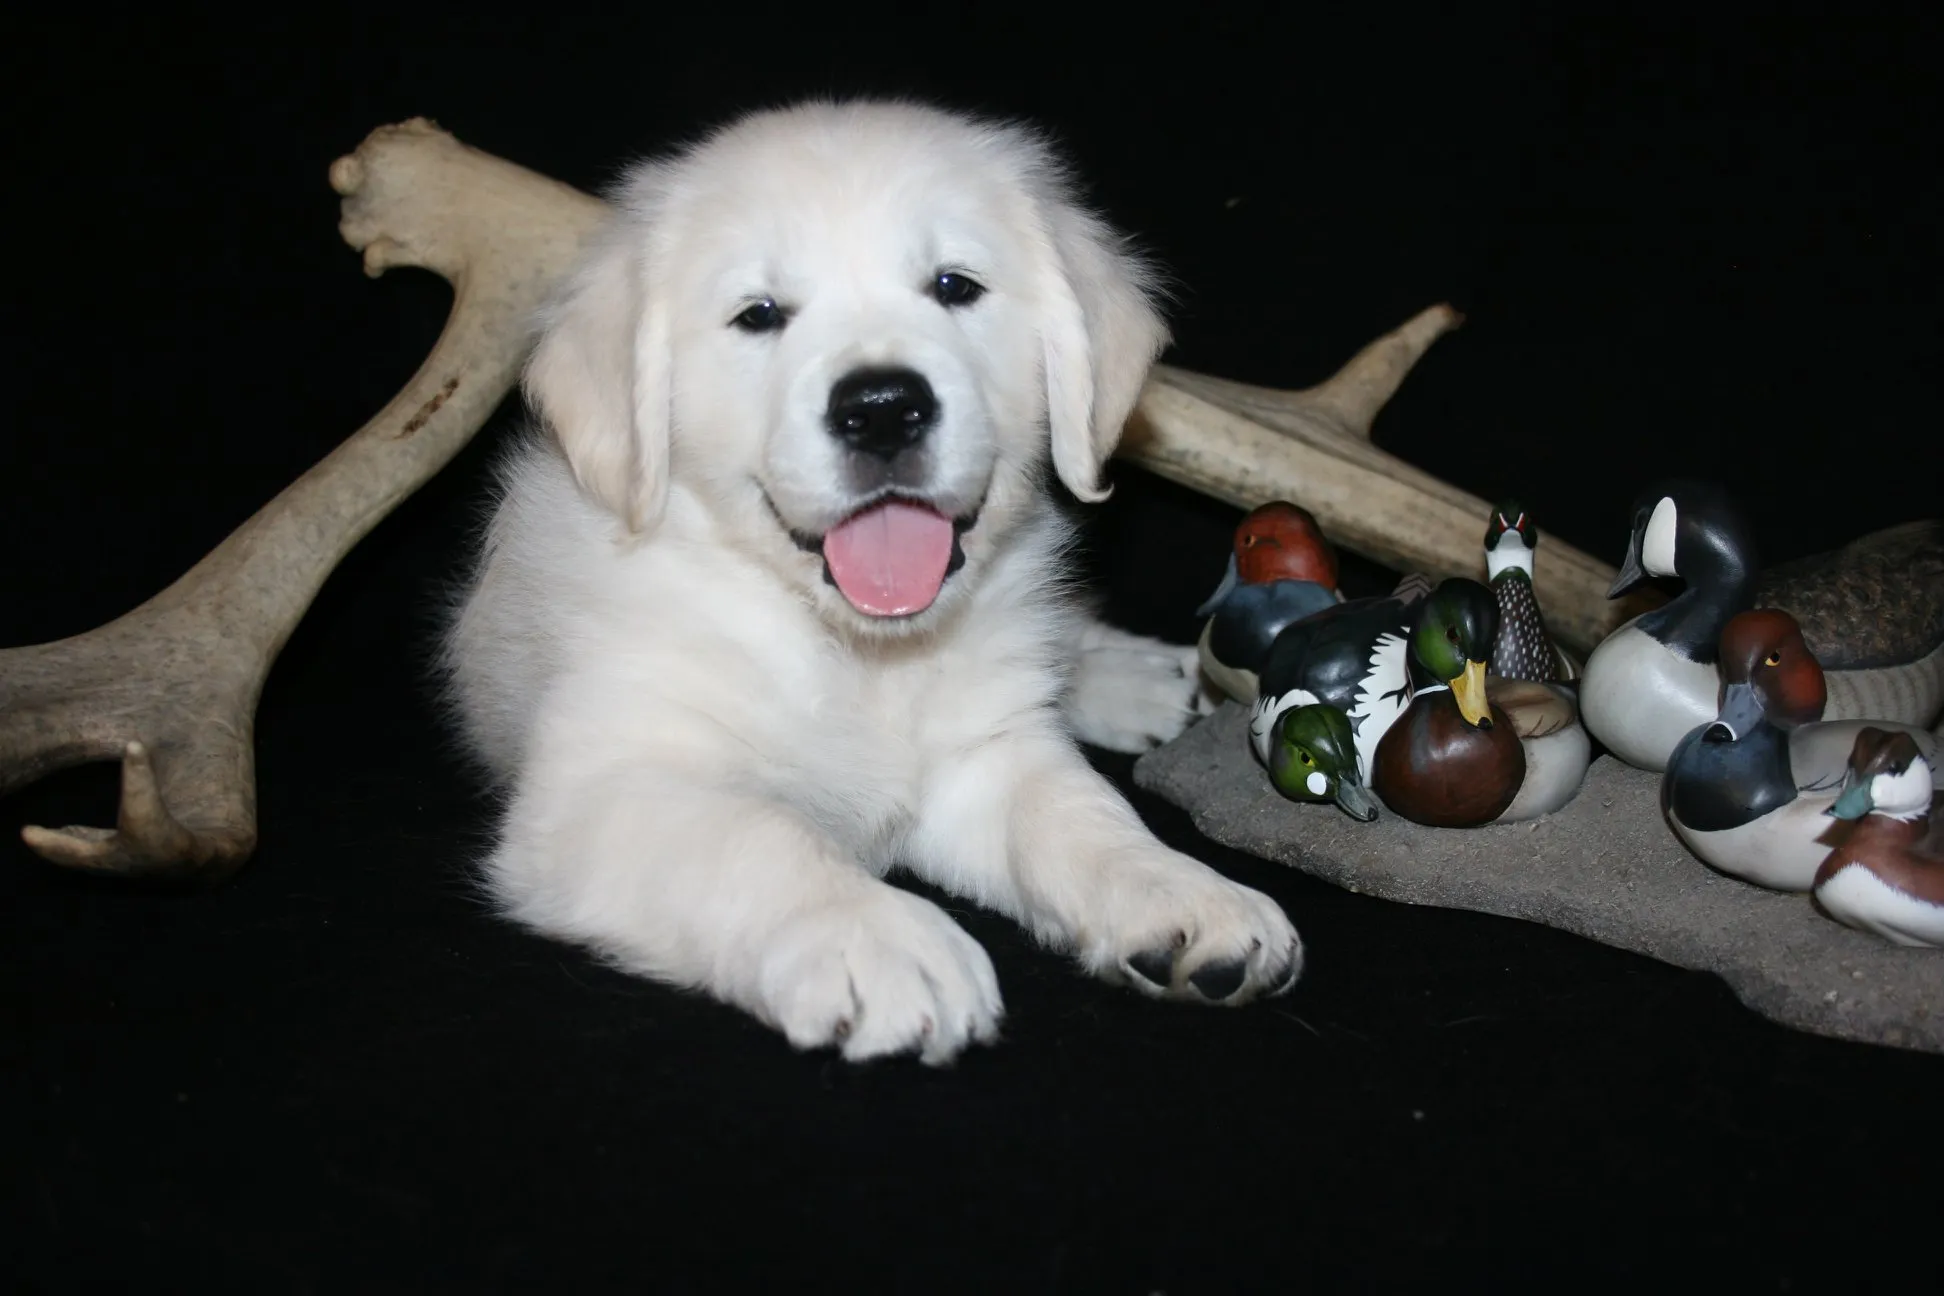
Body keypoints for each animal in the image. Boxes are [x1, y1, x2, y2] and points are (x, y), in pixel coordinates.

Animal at [445, 101, 1298, 1064]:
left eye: (955, 286)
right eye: (759, 314)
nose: (883, 407)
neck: (851, 650)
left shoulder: (984, 756)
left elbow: (1080, 812)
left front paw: (1178, 888)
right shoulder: (605, 789)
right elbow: (761, 838)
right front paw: (881, 940)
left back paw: (1135, 677)